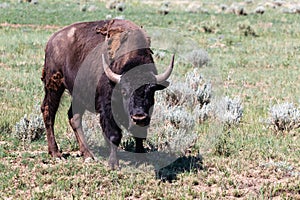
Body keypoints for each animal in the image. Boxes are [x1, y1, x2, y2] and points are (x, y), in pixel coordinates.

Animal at [41, 19, 175, 169]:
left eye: (151, 91)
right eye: (124, 91)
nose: (139, 117)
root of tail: (52, 40)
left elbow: (139, 134)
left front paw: (142, 158)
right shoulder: (107, 108)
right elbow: (114, 135)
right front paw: (113, 164)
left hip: (78, 94)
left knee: (74, 117)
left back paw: (88, 155)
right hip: (54, 86)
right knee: (48, 112)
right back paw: (56, 154)